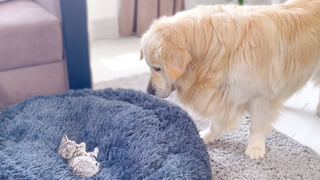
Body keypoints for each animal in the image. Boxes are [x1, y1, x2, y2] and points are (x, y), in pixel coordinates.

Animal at [141, 0, 320, 158]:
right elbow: (216, 123)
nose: (149, 91)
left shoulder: (259, 96)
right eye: (149, 66)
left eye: (157, 68)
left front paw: (255, 148)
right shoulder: (226, 93)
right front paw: (206, 136)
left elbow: (256, 126)